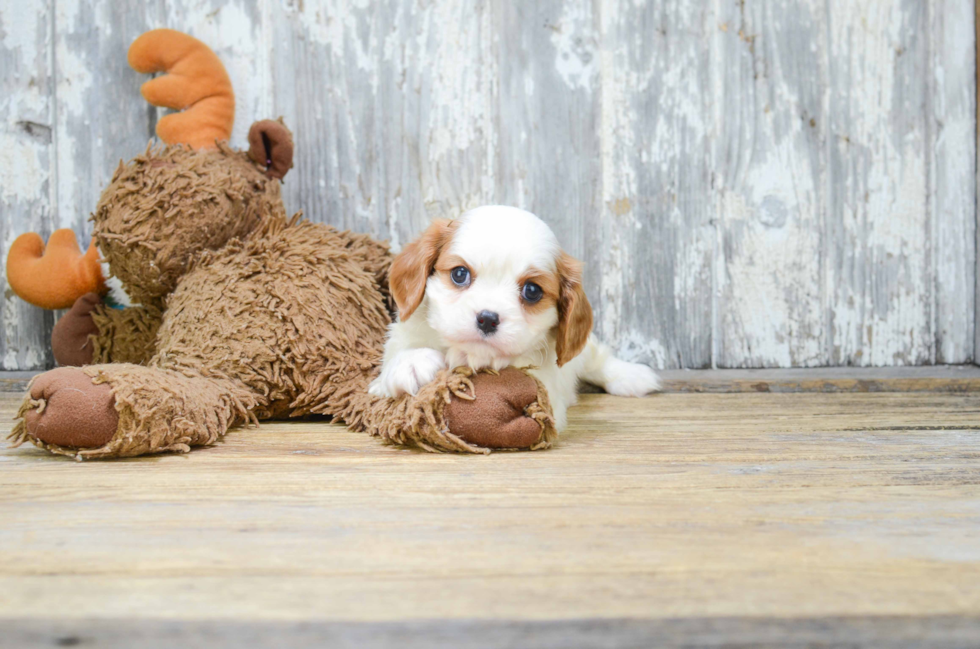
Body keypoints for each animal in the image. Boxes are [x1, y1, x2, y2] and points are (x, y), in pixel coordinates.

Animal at [372, 205, 664, 428]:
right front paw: (411, 363)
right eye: (459, 274)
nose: (487, 318)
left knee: (596, 358)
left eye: (532, 291)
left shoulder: (547, 387)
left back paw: (631, 376)